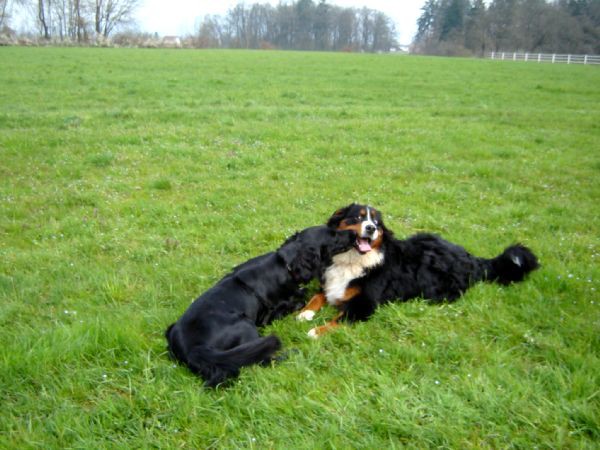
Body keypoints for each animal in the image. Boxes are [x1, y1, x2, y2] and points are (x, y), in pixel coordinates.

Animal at [165, 225, 356, 386]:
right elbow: (299, 300)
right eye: (333, 234)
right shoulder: (269, 315)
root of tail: (194, 349)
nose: (354, 233)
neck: (284, 265)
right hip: (246, 326)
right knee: (258, 361)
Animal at [298, 204, 540, 338]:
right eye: (357, 217)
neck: (352, 261)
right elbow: (317, 297)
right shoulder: (330, 283)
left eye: (376, 221)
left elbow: (339, 320)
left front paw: (315, 332)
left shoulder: (365, 305)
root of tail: (471, 257)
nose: (371, 228)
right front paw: (304, 313)